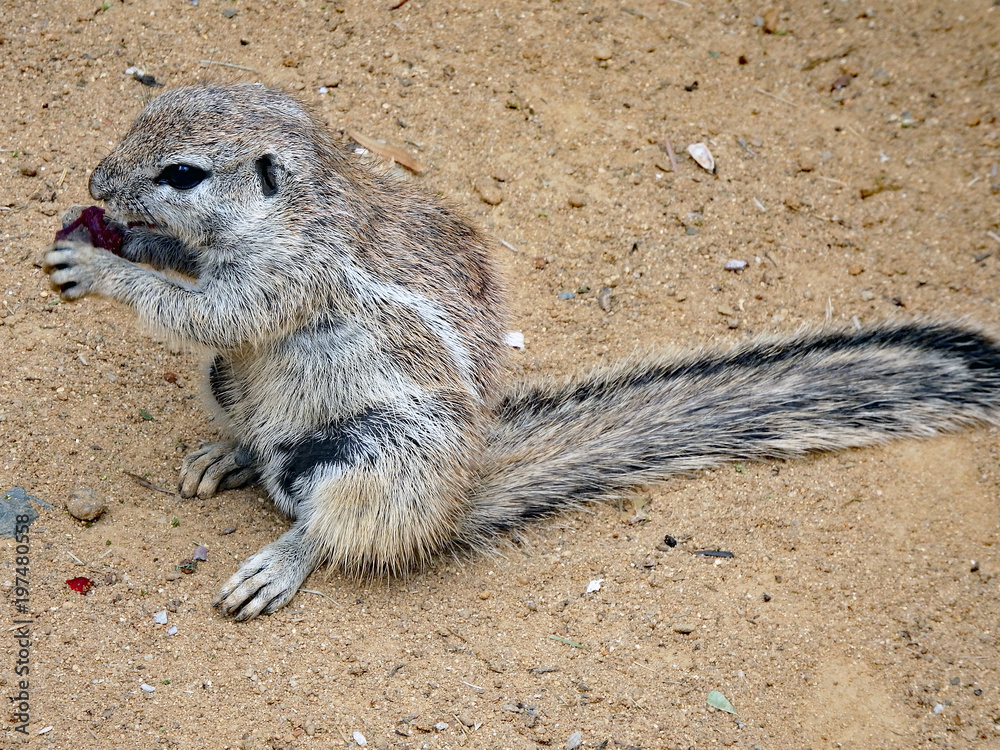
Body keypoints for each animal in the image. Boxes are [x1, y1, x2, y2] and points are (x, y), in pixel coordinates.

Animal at [43, 84, 1000, 621]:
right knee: (257, 441)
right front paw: (120, 242)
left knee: (333, 525)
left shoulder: (290, 276)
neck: (293, 208)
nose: (95, 184)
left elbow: (216, 311)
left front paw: (102, 265)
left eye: (184, 174)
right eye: (140, 116)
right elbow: (201, 297)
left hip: (380, 455)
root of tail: (460, 495)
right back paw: (229, 454)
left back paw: (280, 561)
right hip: (233, 390)